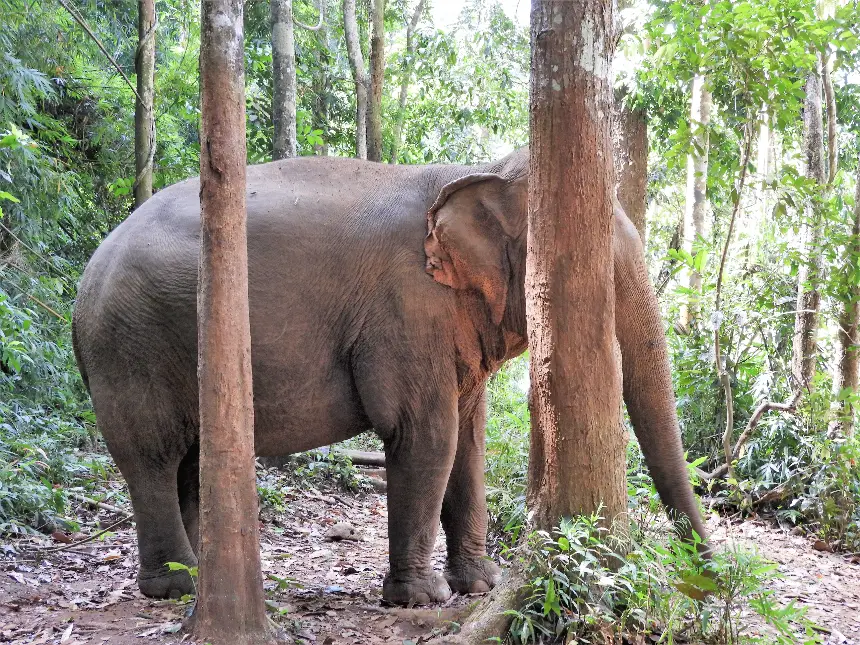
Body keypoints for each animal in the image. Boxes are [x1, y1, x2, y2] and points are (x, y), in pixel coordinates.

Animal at [72, 148, 704, 608]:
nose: (706, 575)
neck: (477, 169)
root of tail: (84, 280)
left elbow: (468, 441)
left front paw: (481, 584)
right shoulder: (405, 310)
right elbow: (426, 435)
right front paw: (423, 599)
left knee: (191, 461)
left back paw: (203, 574)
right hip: (131, 347)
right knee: (153, 455)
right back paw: (177, 586)